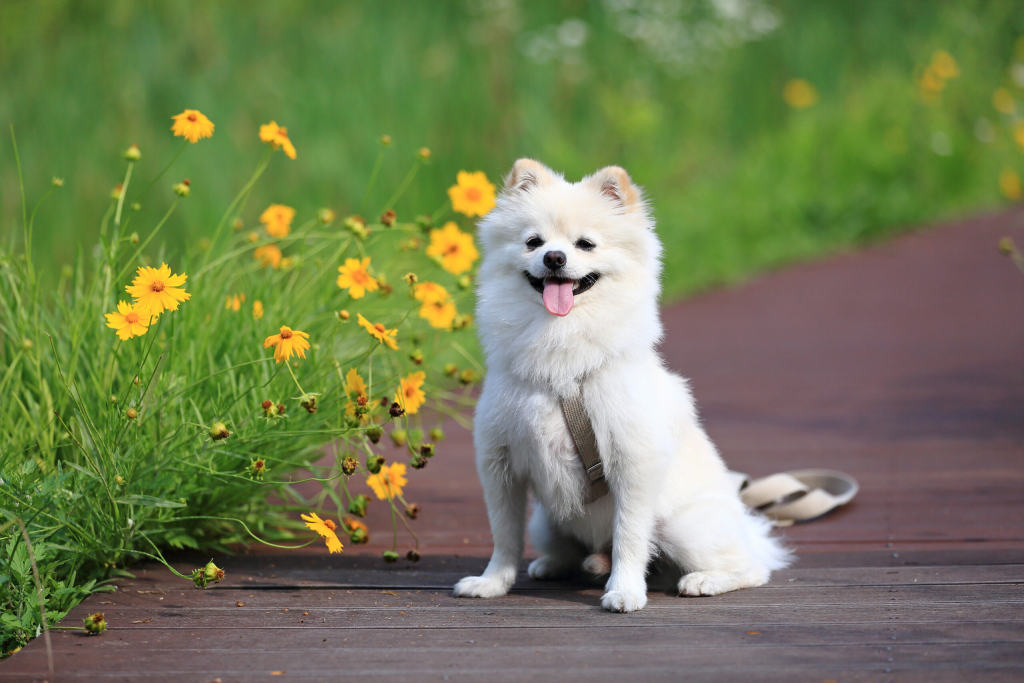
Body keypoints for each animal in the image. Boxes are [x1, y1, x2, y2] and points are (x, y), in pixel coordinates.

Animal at [456, 160, 790, 614]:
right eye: (533, 242)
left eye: (585, 244)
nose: (554, 257)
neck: (562, 358)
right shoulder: (499, 463)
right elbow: (503, 536)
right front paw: (493, 583)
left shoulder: (634, 462)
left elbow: (629, 537)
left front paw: (625, 591)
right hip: (545, 522)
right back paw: (559, 564)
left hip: (682, 527)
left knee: (751, 568)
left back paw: (702, 579)